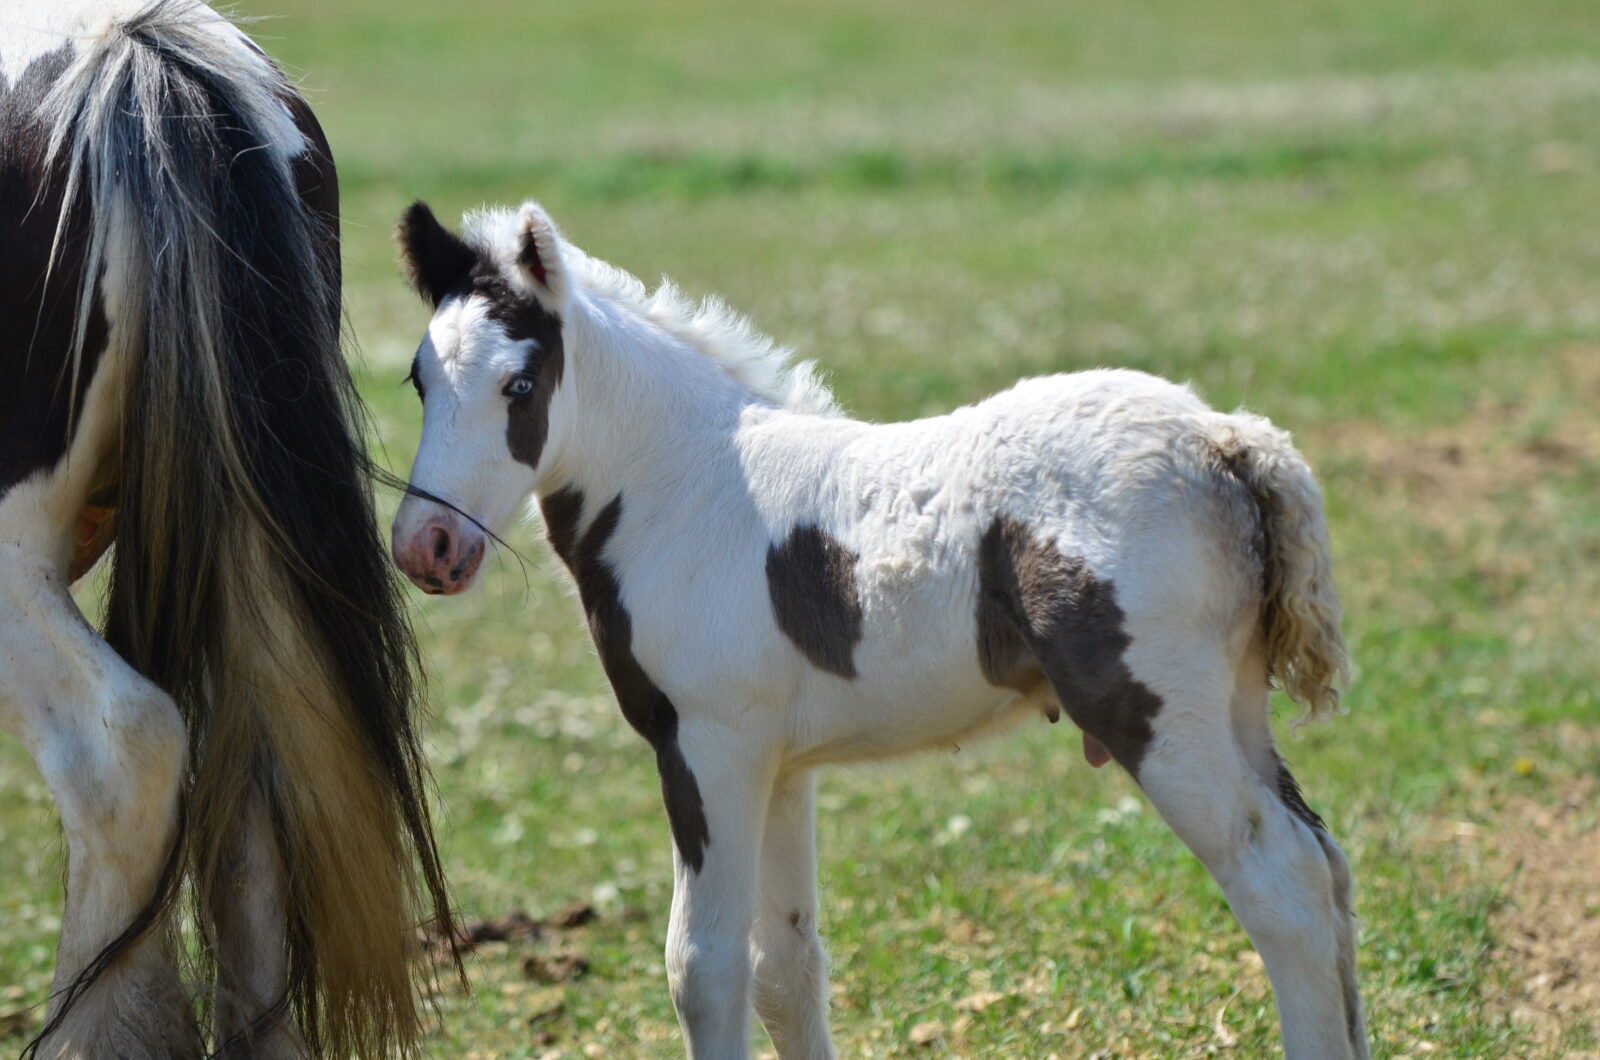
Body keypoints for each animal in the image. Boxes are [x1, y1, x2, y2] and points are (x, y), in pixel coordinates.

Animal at [390, 201, 1363, 1060]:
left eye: (520, 384)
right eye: (418, 379)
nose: (424, 544)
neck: (682, 484)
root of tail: (1229, 441)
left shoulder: (707, 747)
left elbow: (703, 969)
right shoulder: (780, 768)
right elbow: (784, 968)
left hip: (1157, 714)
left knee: (1280, 882)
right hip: (1234, 707)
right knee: (1327, 868)